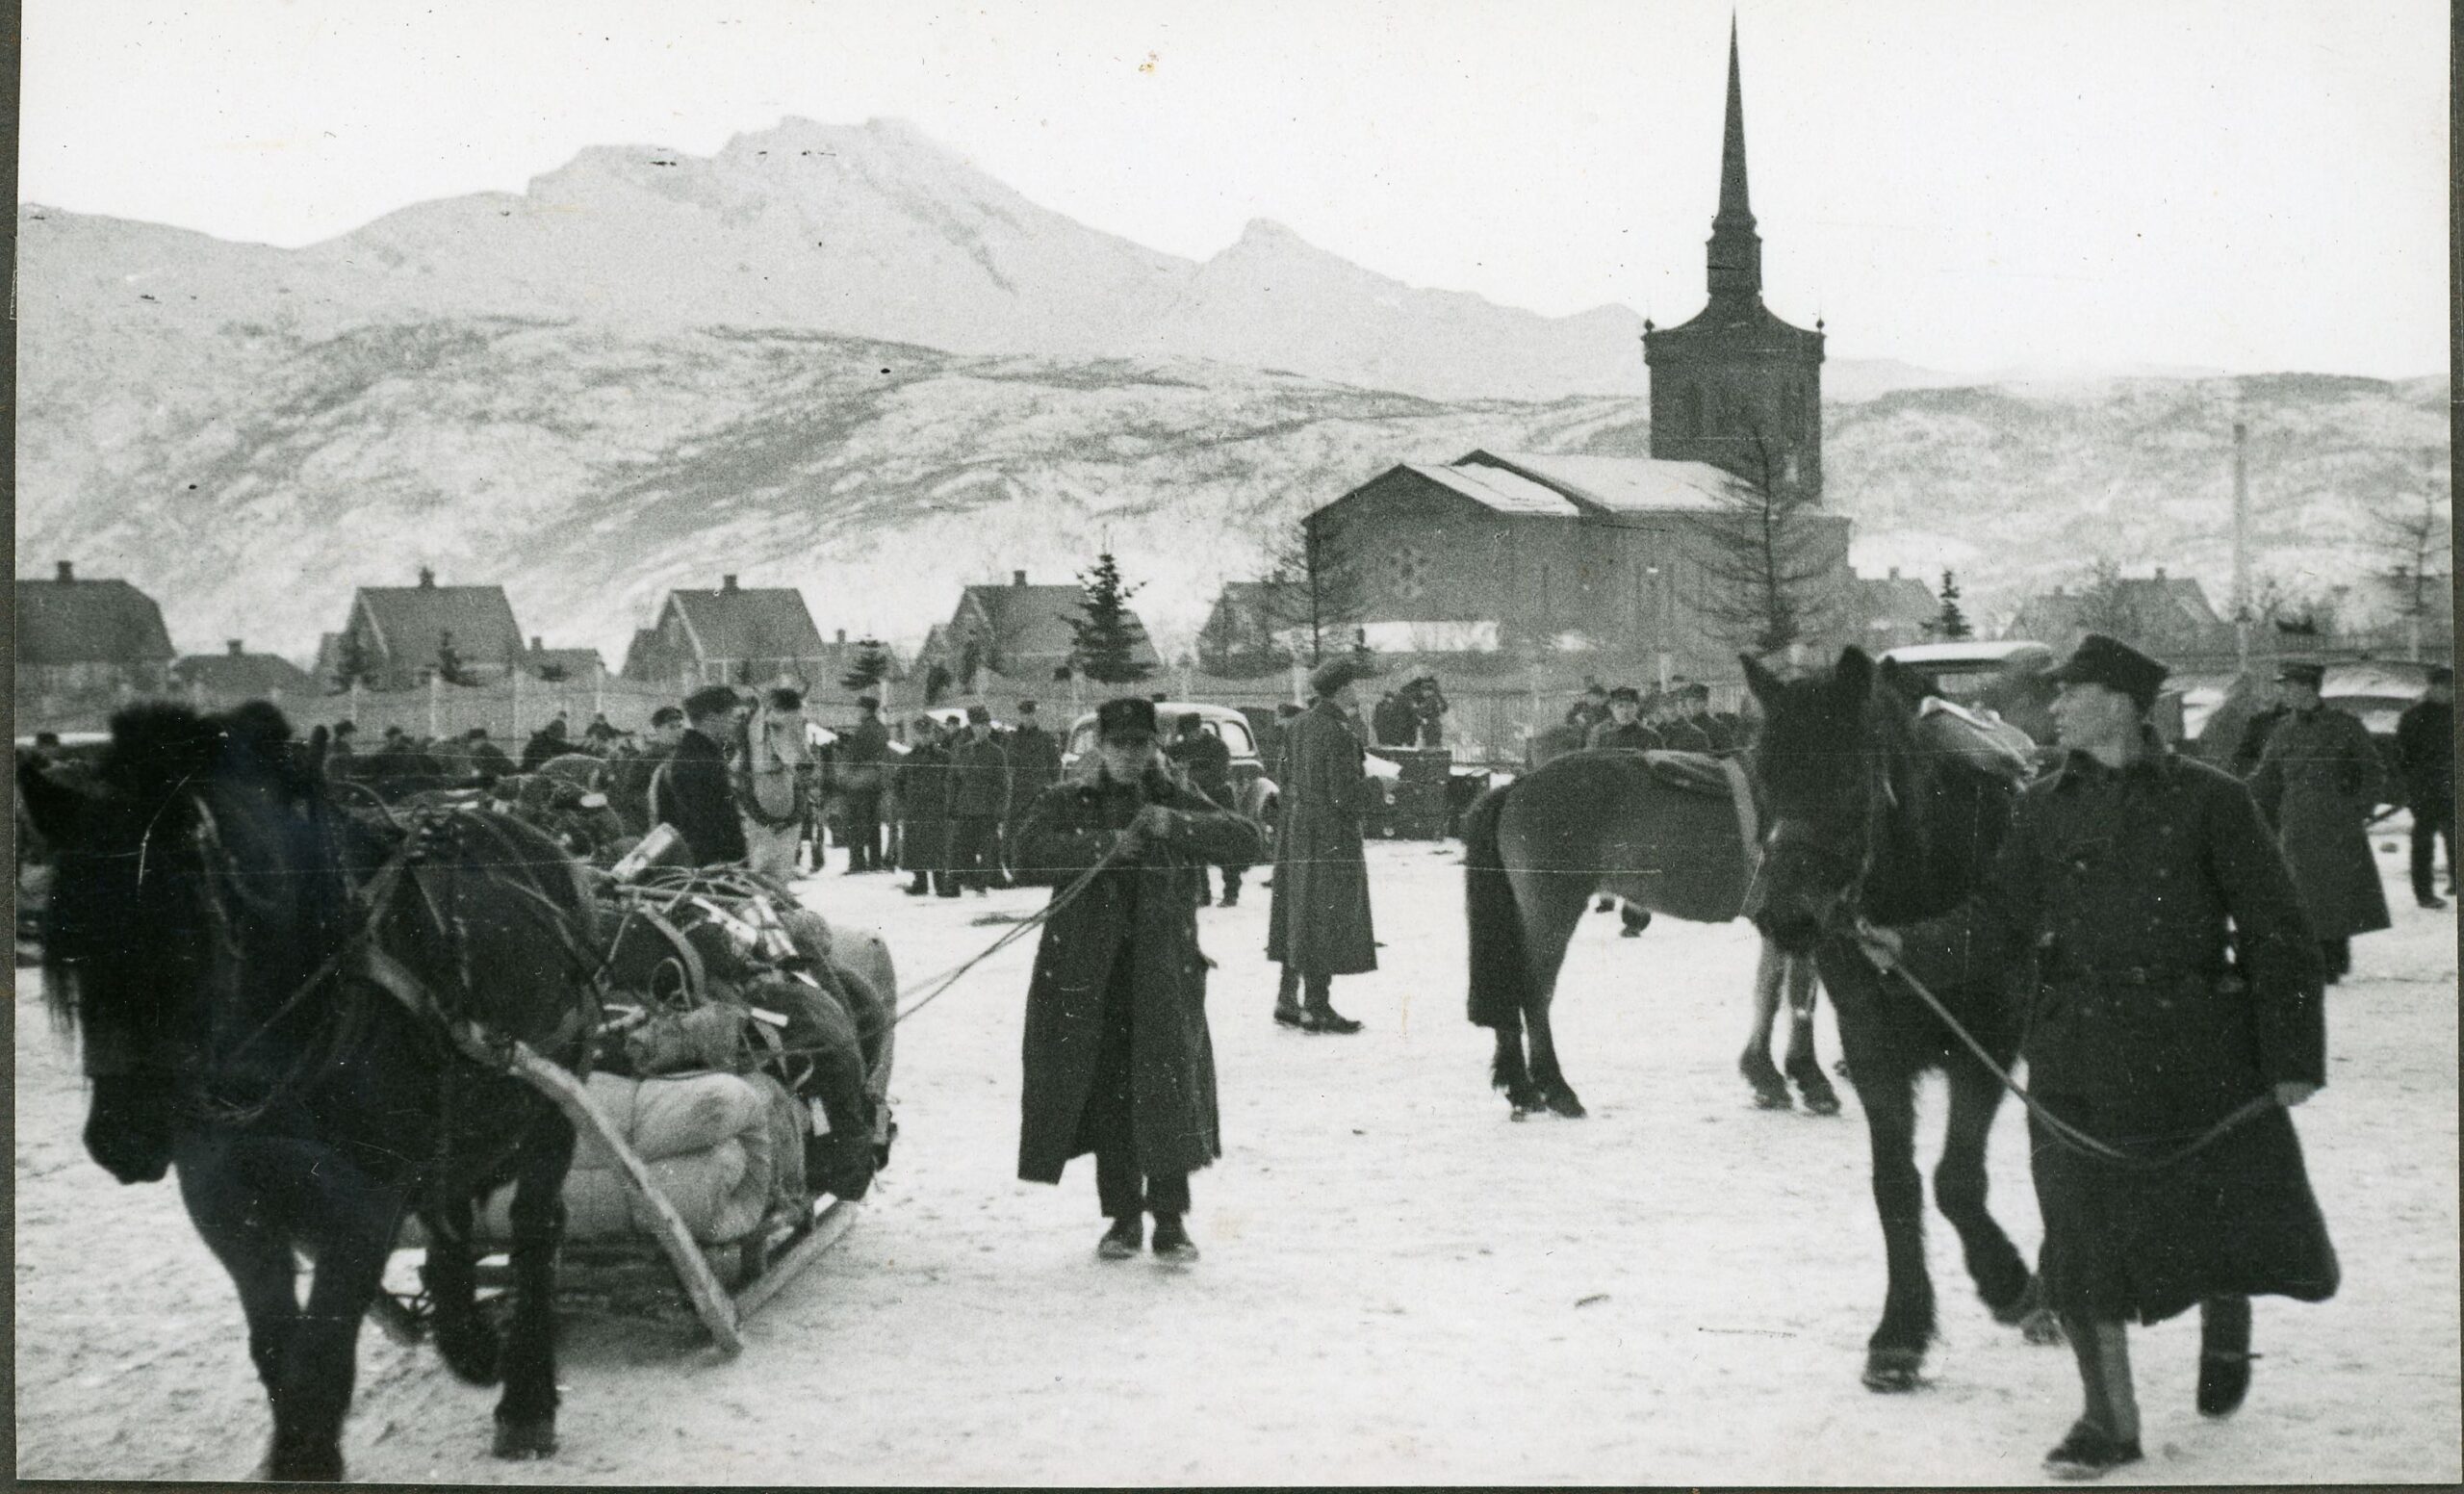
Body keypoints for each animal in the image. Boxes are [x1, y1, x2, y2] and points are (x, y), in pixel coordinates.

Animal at [21, 709, 603, 1479]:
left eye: (183, 940)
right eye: (71, 948)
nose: (122, 1140)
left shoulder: (362, 1197)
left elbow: (320, 1353)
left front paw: (306, 1453)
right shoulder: (221, 1195)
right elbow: (276, 1345)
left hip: (553, 1094)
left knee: (538, 1226)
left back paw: (527, 1398)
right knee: (450, 1199)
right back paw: (466, 1335)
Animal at [1468, 739, 1842, 1123]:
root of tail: (1520, 784)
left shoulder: (1777, 920)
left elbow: (1769, 991)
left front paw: (1766, 1077)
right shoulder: (1809, 911)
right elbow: (1801, 995)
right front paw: (1811, 1080)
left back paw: (1522, 1092)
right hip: (1552, 914)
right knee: (1534, 995)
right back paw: (1557, 1090)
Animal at [1744, 651, 2069, 1390]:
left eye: (1849, 775)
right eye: (1765, 772)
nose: (1784, 915)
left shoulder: (1986, 1043)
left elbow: (1957, 1181)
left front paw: (2011, 1284)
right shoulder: (1872, 1049)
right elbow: (1894, 1185)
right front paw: (1900, 1334)